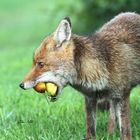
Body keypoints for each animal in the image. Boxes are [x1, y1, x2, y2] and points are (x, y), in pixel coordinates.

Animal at [19, 12, 140, 140]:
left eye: (41, 64)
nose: (21, 85)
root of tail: (132, 13)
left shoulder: (122, 95)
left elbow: (125, 132)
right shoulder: (90, 98)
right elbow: (90, 130)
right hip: (112, 98)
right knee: (112, 115)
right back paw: (110, 134)